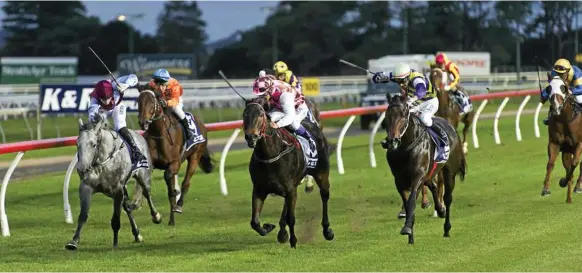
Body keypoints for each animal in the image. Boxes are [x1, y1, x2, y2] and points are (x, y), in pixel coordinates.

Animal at [65, 118, 163, 250]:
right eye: (77, 144)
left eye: (93, 144)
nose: (82, 169)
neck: (103, 163)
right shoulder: (86, 187)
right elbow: (83, 216)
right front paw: (74, 241)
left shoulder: (117, 191)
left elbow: (116, 219)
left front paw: (115, 244)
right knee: (127, 207)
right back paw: (137, 234)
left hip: (143, 176)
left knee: (147, 194)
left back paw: (156, 216)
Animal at [135, 88, 214, 224]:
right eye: (138, 102)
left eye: (151, 102)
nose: (142, 121)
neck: (159, 135)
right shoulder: (150, 165)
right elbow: (146, 189)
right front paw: (156, 216)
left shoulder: (175, 163)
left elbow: (169, 179)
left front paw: (174, 194)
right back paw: (171, 219)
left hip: (195, 156)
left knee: (186, 183)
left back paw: (178, 205)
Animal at [384, 92, 470, 243]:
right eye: (387, 115)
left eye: (404, 114)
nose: (392, 140)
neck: (405, 148)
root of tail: (450, 125)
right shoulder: (399, 180)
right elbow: (407, 203)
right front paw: (410, 233)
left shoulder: (418, 176)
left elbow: (412, 201)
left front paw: (407, 228)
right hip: (429, 172)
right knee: (434, 186)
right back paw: (440, 210)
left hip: (449, 172)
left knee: (448, 197)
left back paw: (446, 227)